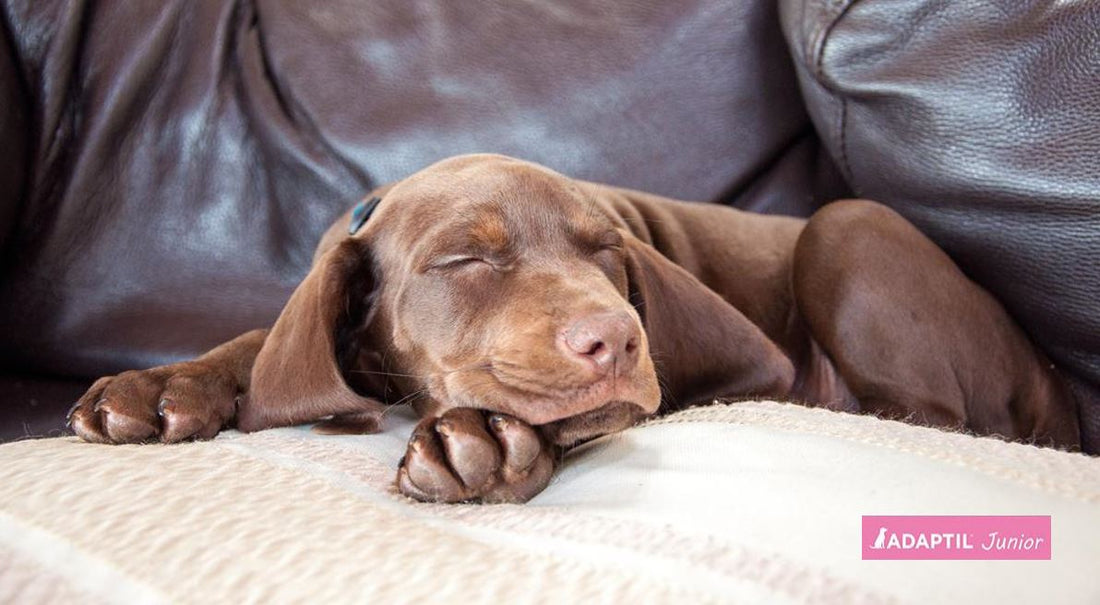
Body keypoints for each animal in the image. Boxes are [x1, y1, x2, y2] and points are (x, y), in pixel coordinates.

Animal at [68, 155, 1082, 503]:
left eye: (607, 252)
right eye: (462, 260)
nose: (617, 340)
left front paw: (479, 443)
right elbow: (267, 344)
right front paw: (157, 388)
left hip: (849, 225)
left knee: (928, 416)